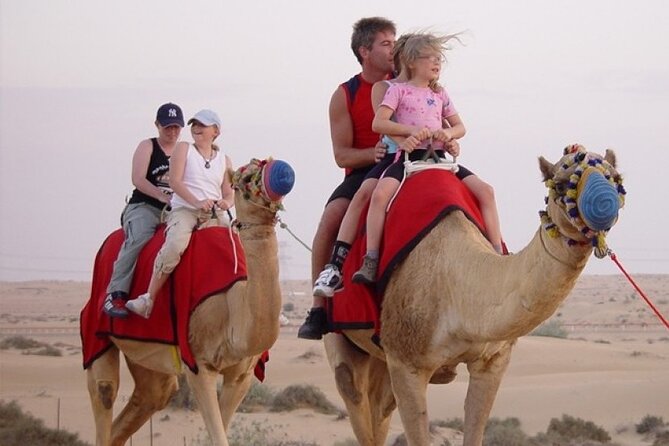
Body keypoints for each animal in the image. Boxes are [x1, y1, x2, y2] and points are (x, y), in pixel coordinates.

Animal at [85, 158, 294, 446]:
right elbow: (218, 436)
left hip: (149, 357)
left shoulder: (242, 375)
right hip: (96, 331)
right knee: (105, 390)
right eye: (242, 179)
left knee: (153, 395)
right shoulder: (198, 362)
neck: (233, 305)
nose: (282, 173)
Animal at [324, 146, 625, 446]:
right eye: (561, 184)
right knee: (350, 387)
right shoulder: (405, 362)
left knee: (380, 409)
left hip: (380, 360)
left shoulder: (492, 362)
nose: (604, 203)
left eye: (614, 177)